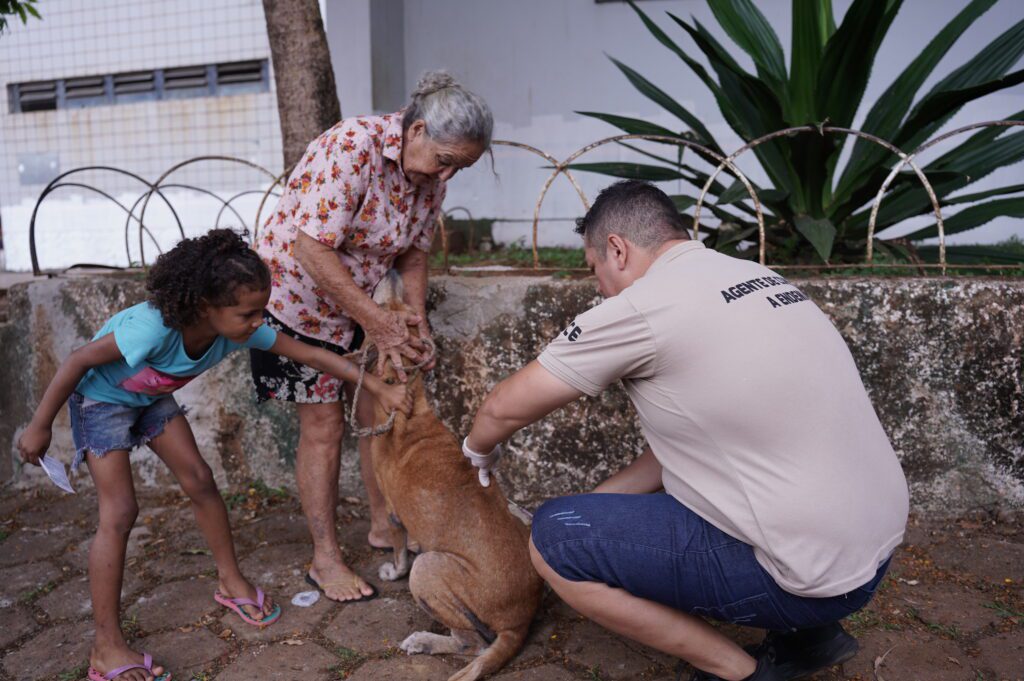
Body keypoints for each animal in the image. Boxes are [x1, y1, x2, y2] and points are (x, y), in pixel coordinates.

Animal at [367, 272, 543, 681]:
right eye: (406, 313)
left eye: (383, 312)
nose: (392, 272)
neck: (409, 408)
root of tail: (521, 621)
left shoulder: (393, 512)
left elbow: (400, 550)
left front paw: (393, 570)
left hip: (429, 573)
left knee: (470, 644)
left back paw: (424, 641)